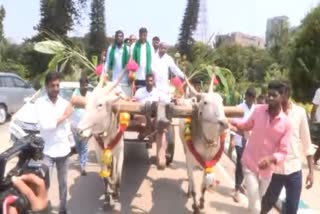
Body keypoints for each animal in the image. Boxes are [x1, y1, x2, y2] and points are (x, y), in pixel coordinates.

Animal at [179, 76, 229, 213]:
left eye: (222, 101)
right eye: (205, 102)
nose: (224, 123)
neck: (207, 142)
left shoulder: (209, 162)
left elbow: (203, 187)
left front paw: (201, 203)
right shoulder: (190, 160)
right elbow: (195, 187)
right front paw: (195, 206)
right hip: (185, 150)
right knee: (188, 174)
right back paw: (188, 191)